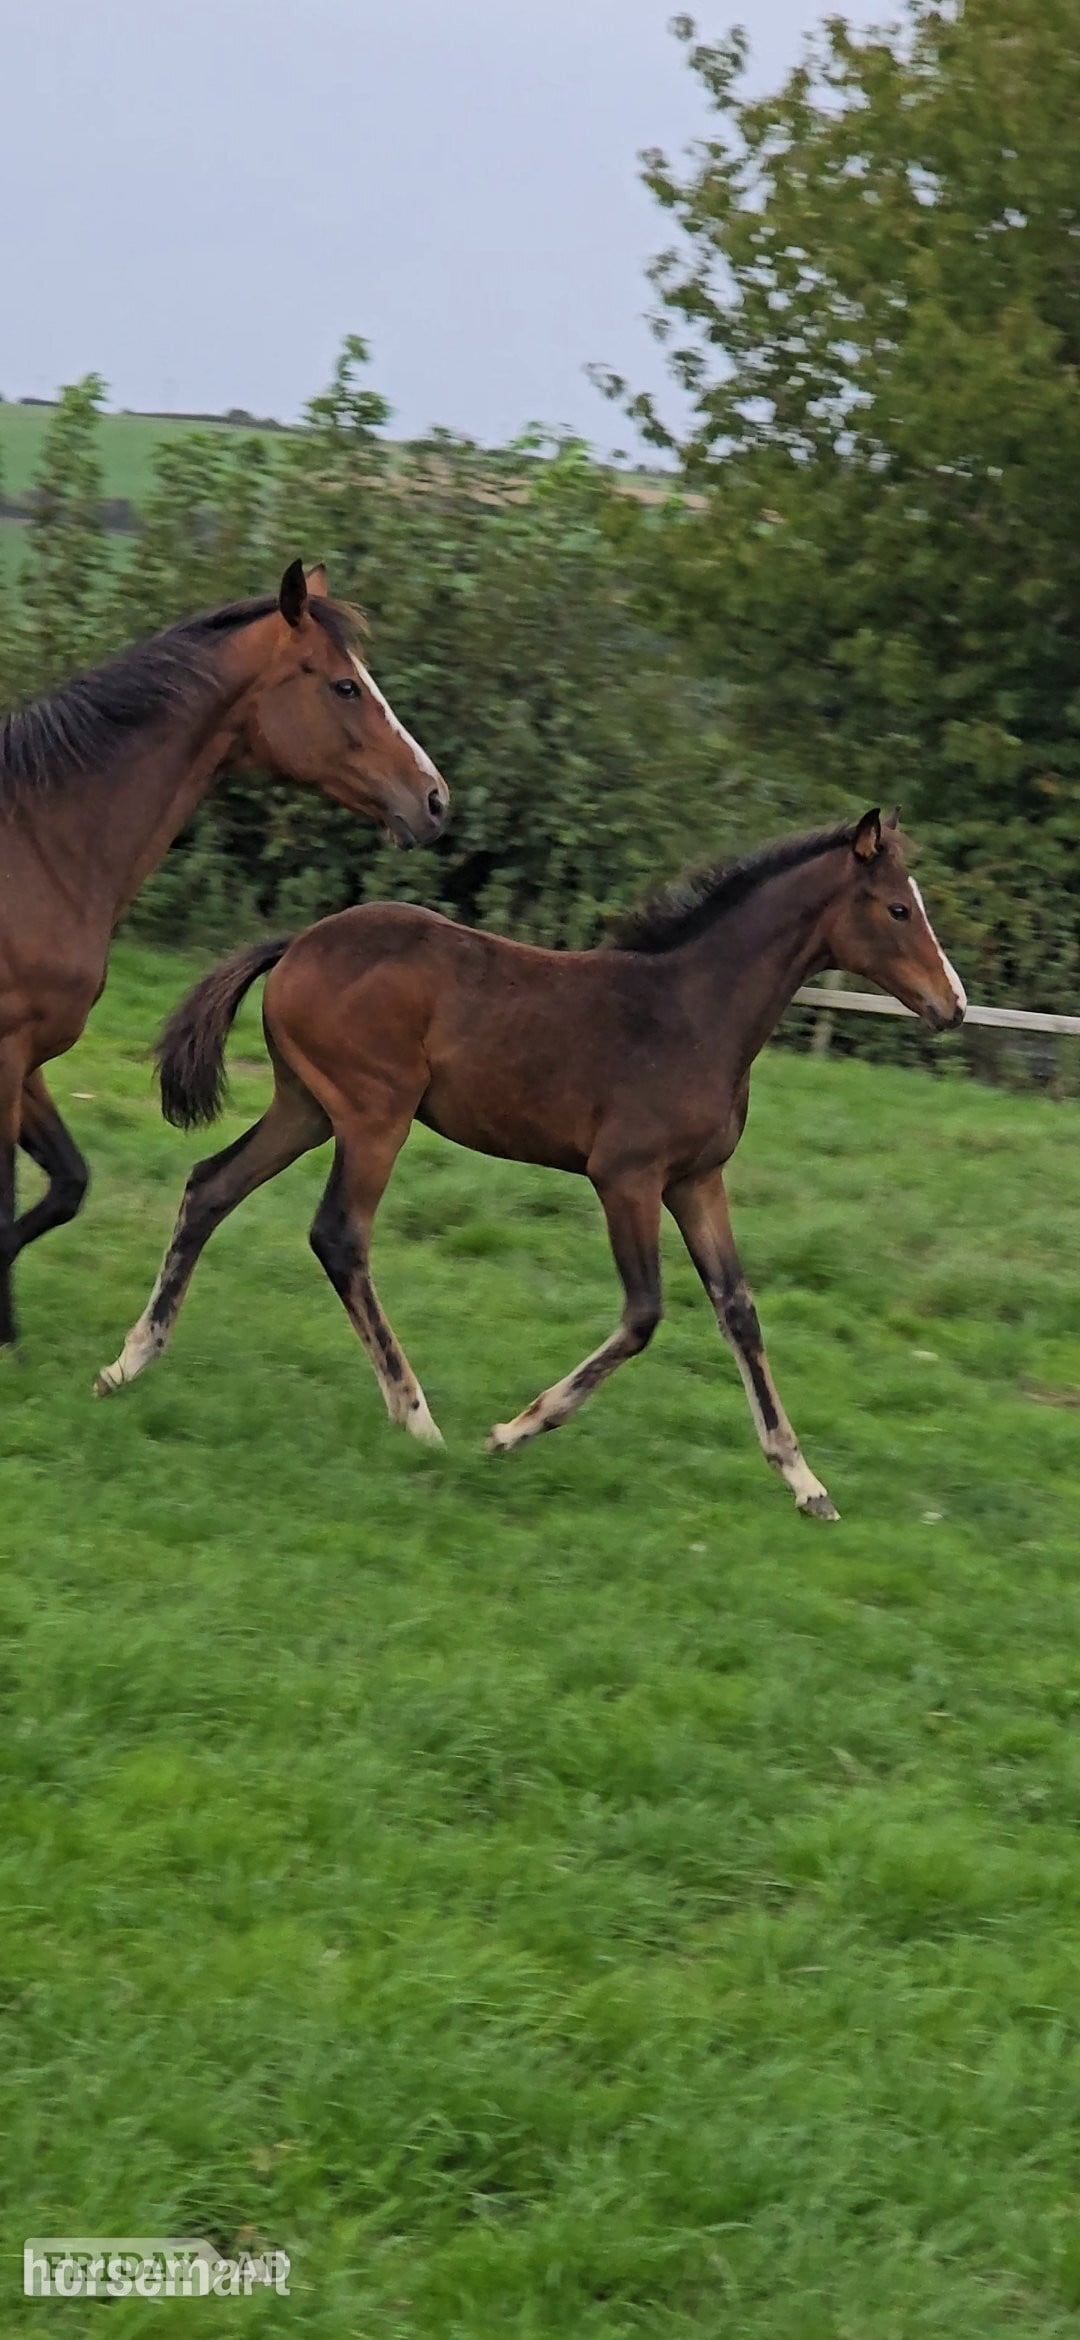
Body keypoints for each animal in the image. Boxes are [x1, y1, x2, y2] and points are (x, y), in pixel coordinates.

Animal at [0, 560, 448, 1348]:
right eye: (345, 686)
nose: (433, 799)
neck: (42, 847)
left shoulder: (27, 1057)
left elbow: (66, 1184)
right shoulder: (3, 1054)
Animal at [96, 807, 965, 1518]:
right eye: (898, 908)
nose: (952, 1004)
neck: (695, 1014)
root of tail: (300, 943)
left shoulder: (696, 1180)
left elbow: (738, 1309)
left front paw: (804, 1481)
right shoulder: (627, 1178)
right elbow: (644, 1313)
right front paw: (514, 1430)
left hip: (306, 1107)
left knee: (210, 1186)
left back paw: (130, 1361)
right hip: (375, 1117)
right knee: (338, 1234)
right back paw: (417, 1418)